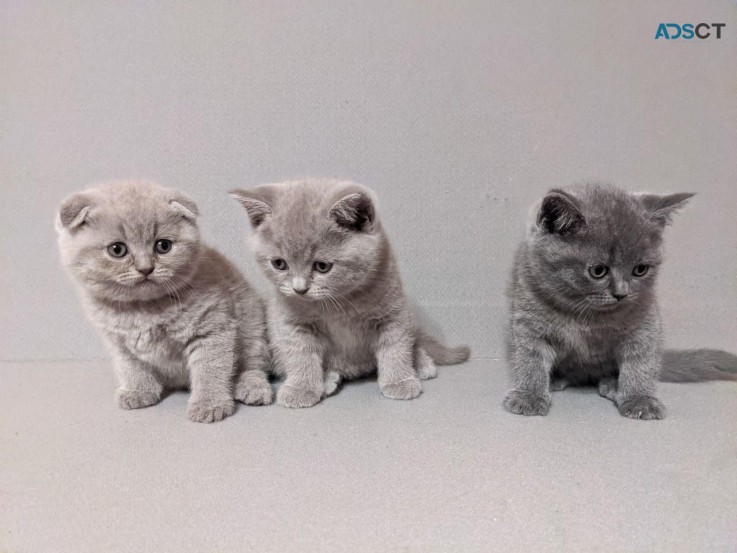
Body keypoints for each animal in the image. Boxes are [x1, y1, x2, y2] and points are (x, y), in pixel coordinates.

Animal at [55, 181, 274, 422]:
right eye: (117, 249)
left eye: (163, 246)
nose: (145, 268)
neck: (142, 309)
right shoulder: (118, 342)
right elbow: (131, 368)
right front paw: (138, 391)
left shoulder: (213, 328)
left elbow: (210, 368)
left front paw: (209, 404)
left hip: (252, 323)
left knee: (253, 364)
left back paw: (252, 387)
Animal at [230, 179, 472, 408]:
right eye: (279, 264)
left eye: (322, 266)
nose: (300, 289)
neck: (339, 303)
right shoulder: (290, 321)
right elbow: (300, 353)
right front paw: (302, 388)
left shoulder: (394, 312)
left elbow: (396, 346)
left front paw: (400, 380)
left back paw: (421, 363)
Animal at [506, 182, 736, 418]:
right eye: (598, 271)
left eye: (640, 269)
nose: (621, 293)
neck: (586, 316)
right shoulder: (528, 317)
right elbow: (530, 357)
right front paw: (529, 395)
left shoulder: (645, 322)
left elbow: (640, 361)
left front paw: (640, 398)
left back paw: (612, 384)